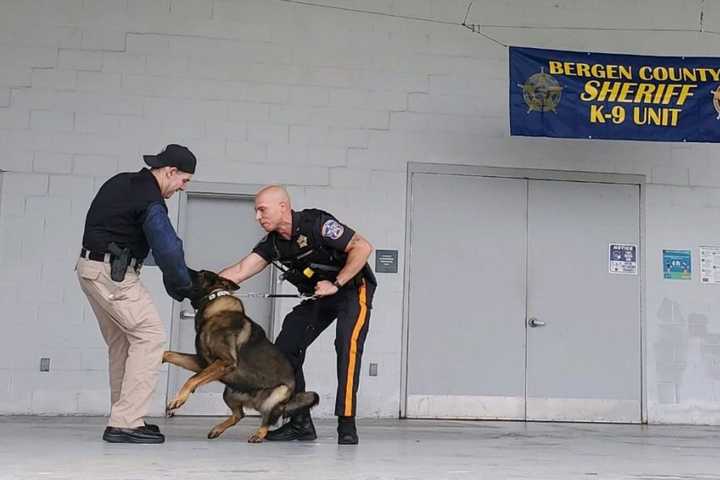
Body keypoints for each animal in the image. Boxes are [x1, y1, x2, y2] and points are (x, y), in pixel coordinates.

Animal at [165, 270, 322, 442]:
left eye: (200, 274)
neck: (214, 302)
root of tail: (254, 402)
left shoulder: (224, 361)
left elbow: (192, 379)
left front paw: (178, 399)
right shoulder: (203, 363)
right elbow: (169, 354)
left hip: (277, 393)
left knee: (267, 419)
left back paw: (259, 434)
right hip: (229, 393)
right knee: (239, 414)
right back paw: (217, 429)